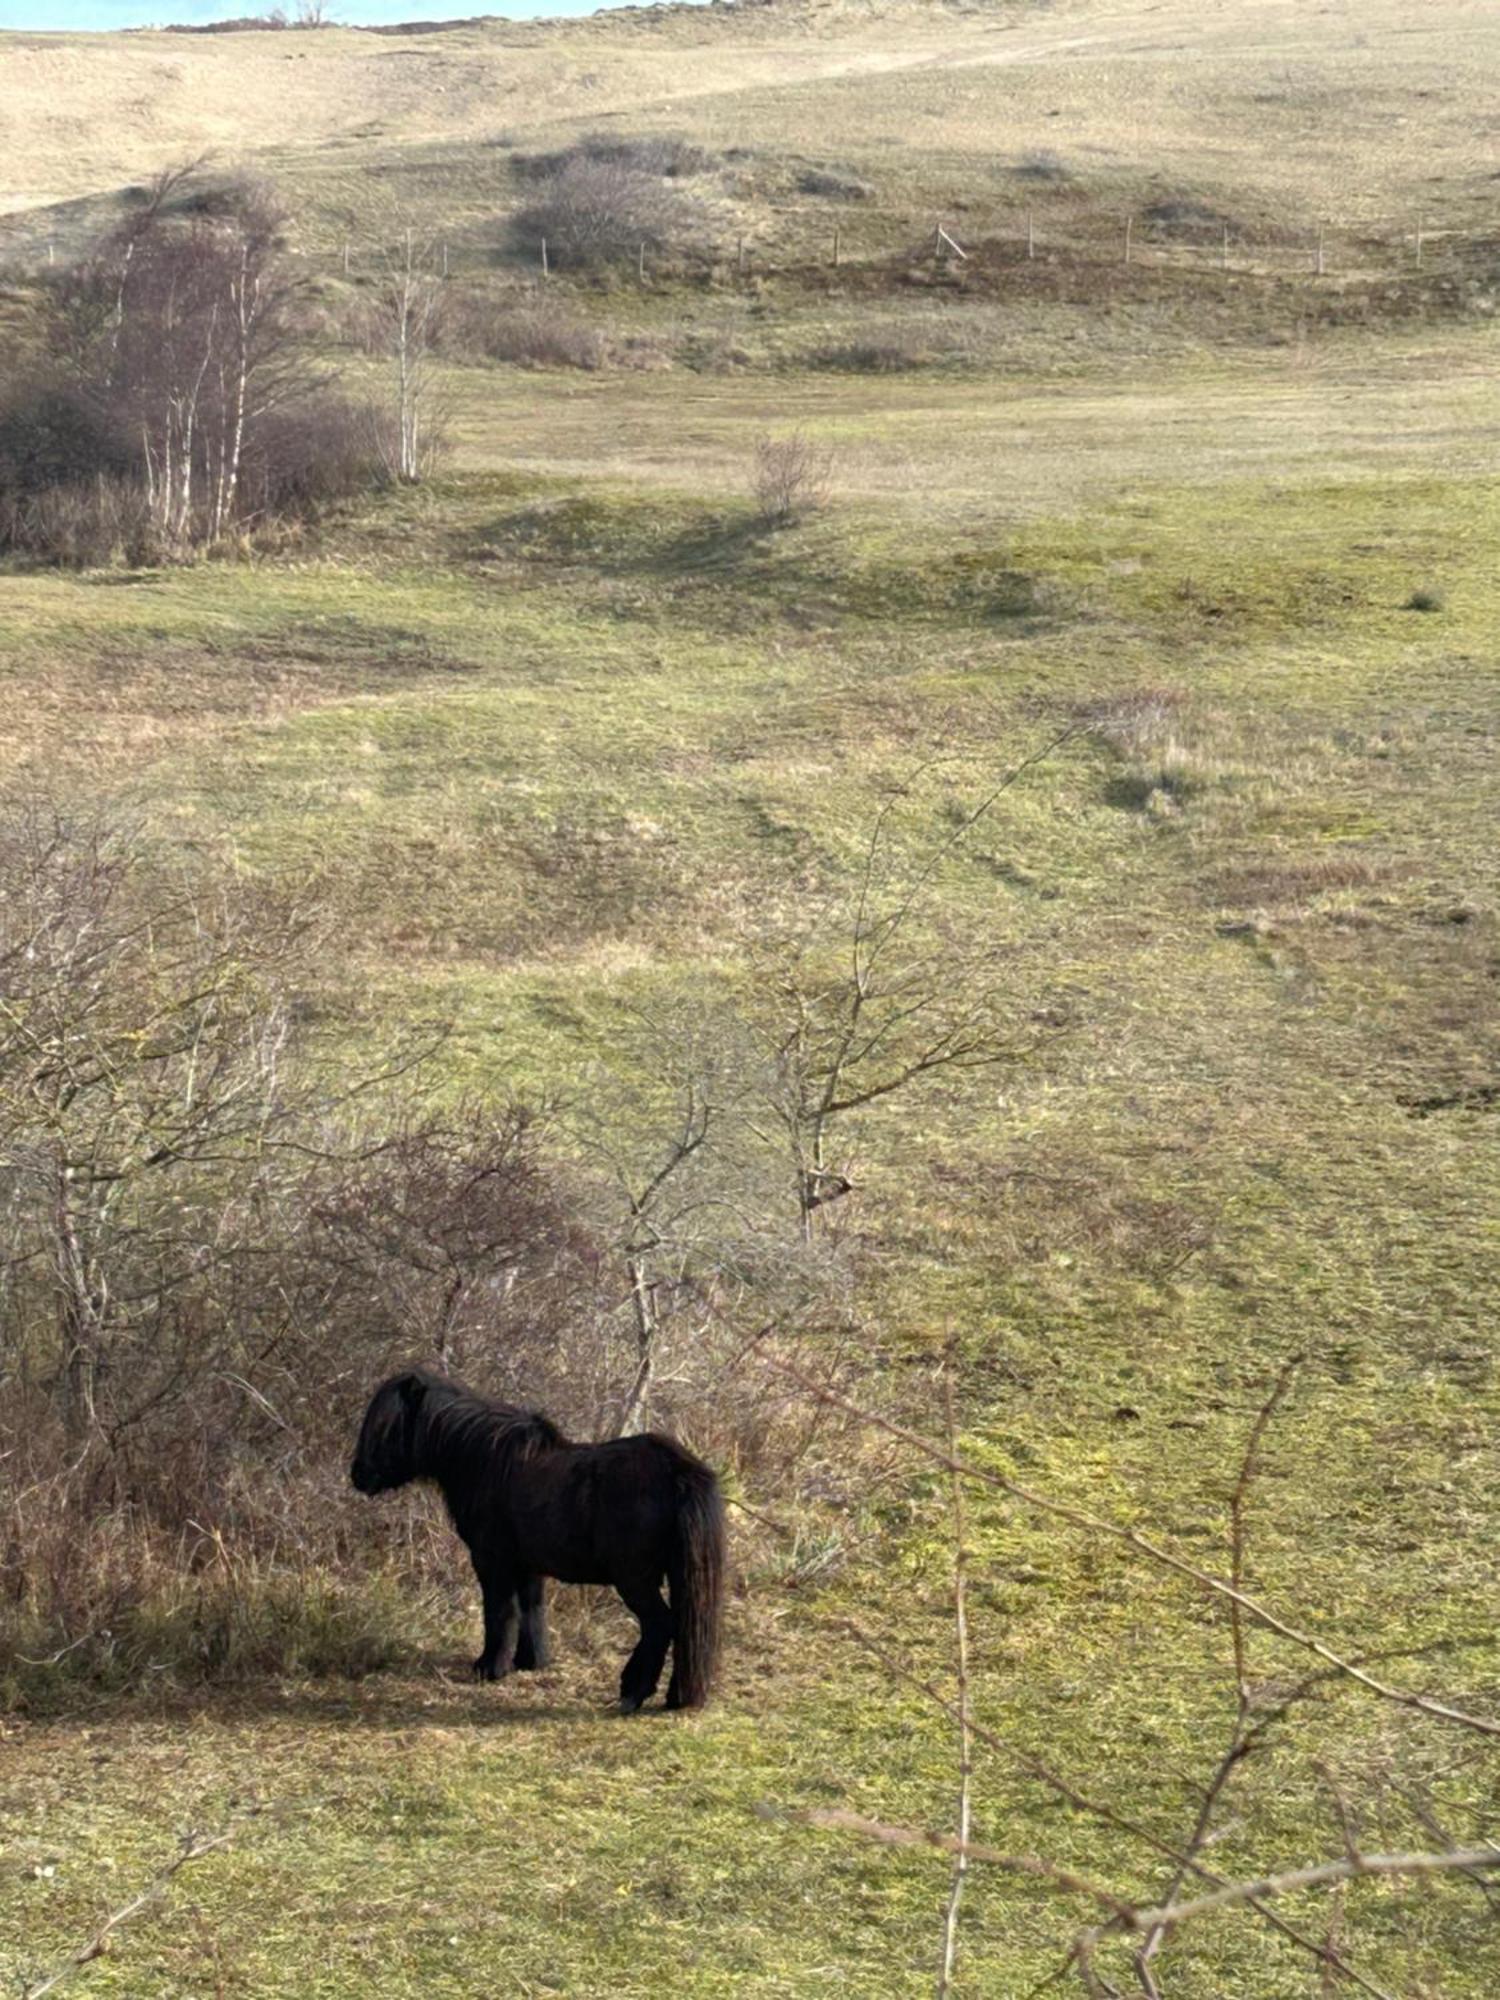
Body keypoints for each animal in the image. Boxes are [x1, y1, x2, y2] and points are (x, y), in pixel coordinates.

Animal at [352, 1368, 728, 1712]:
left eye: (386, 1425)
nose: (357, 1475)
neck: (485, 1461)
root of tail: (678, 1470)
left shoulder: (493, 1562)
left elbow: (500, 1612)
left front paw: (490, 1667)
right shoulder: (528, 1566)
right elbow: (530, 1610)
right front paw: (529, 1661)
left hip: (635, 1580)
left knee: (659, 1625)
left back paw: (633, 1692)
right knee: (683, 1626)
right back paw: (676, 1696)